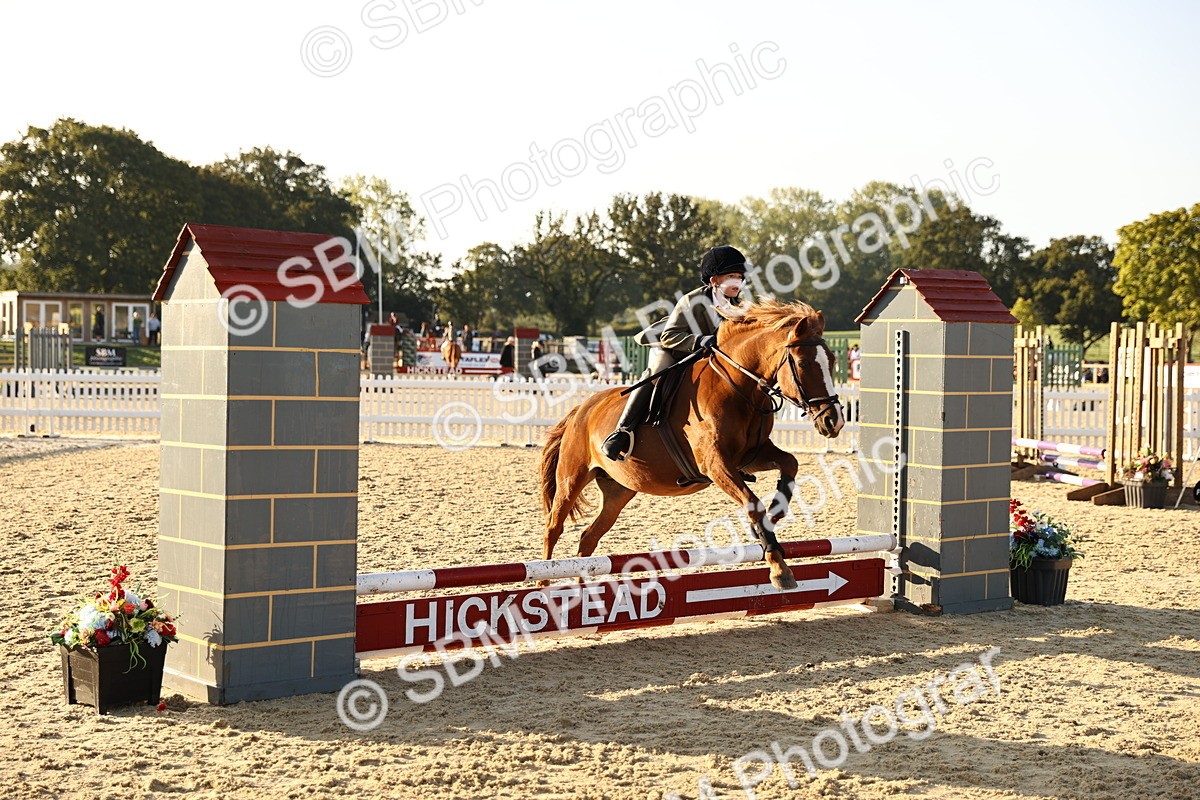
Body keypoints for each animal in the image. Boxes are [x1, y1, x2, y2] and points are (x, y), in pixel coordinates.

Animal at [539, 299, 844, 590]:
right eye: (803, 364)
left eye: (831, 361)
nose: (834, 421)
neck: (737, 386)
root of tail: (581, 408)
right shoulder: (716, 465)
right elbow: (753, 504)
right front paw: (780, 570)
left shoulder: (751, 456)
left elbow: (790, 464)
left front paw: (775, 515)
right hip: (572, 477)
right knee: (553, 527)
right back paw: (543, 586)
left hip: (619, 490)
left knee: (589, 537)